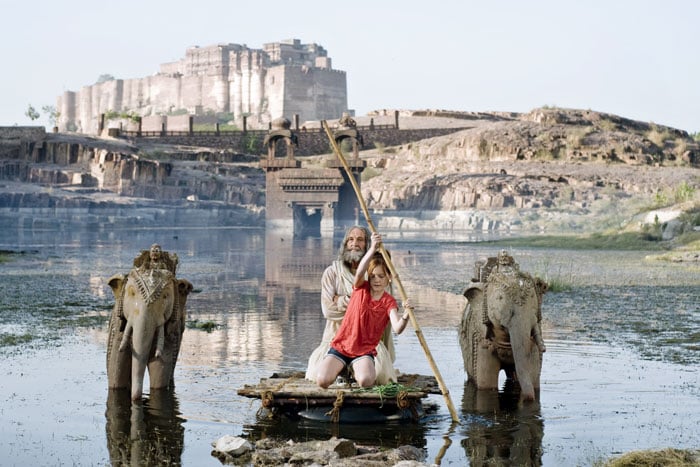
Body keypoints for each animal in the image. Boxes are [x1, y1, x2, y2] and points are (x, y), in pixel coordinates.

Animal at [104, 245, 191, 402]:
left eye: (166, 296)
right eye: (132, 293)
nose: (135, 399)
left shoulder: (171, 333)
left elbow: (159, 376)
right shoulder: (118, 328)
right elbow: (116, 377)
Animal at [456, 252, 548, 402]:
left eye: (533, 299)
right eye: (500, 298)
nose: (544, 349)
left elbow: (534, 380)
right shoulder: (482, 340)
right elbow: (486, 386)